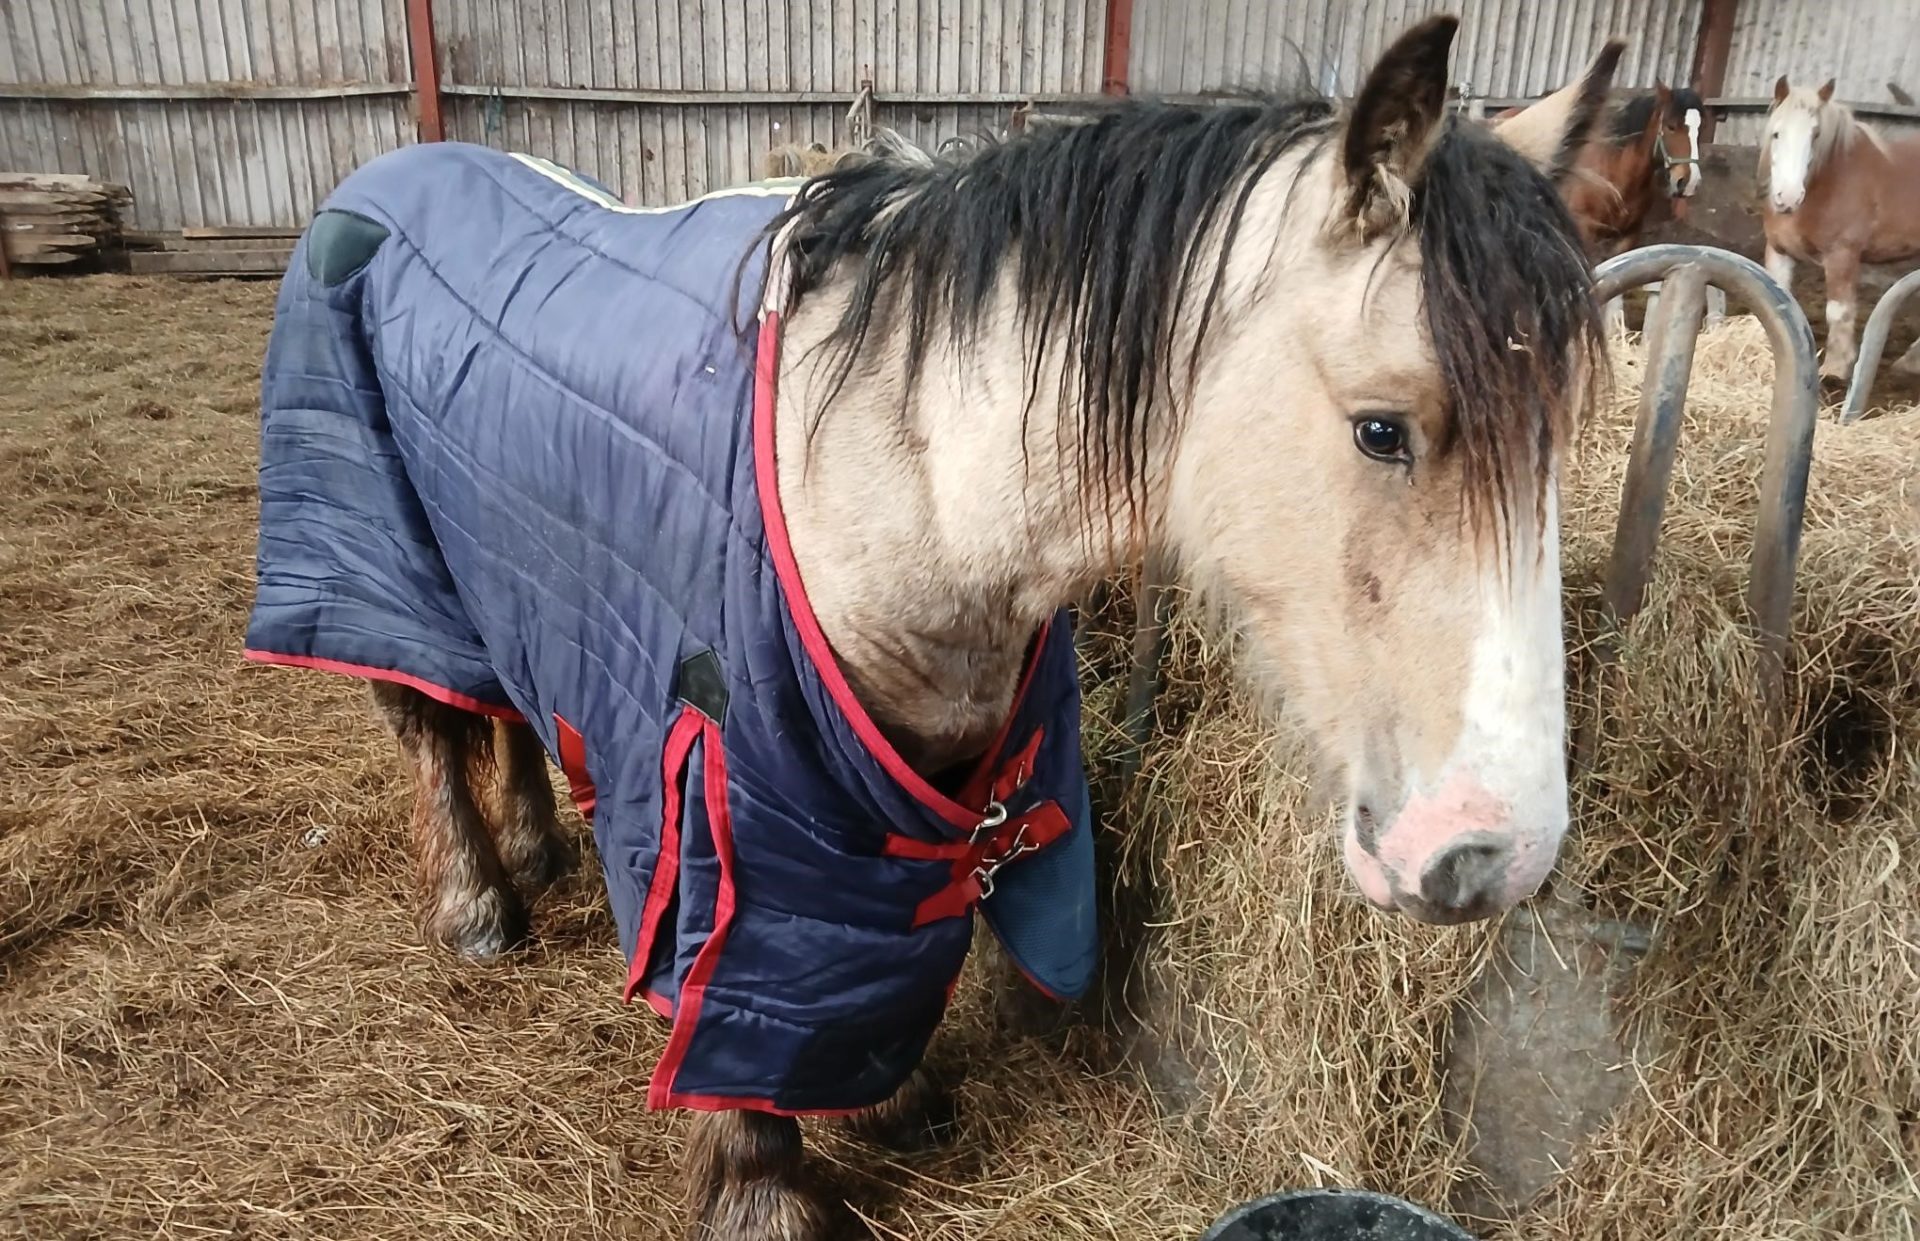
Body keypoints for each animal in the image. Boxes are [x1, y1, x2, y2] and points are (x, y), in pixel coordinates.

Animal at [240, 12, 1612, 1241]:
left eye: (1556, 436)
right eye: (1383, 428)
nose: (1499, 853)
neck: (890, 473)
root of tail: (387, 173)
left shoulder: (925, 776)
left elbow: (879, 952)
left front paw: (883, 1098)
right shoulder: (738, 795)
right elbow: (749, 988)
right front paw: (763, 1189)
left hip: (502, 572)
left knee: (507, 706)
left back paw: (532, 849)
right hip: (383, 561)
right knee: (430, 726)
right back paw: (479, 903)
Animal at [1758, 77, 1920, 378]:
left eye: (1816, 135)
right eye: (1776, 134)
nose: (1788, 197)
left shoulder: (1841, 255)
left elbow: (1838, 311)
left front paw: (1835, 368)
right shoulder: (1779, 250)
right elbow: (1776, 297)